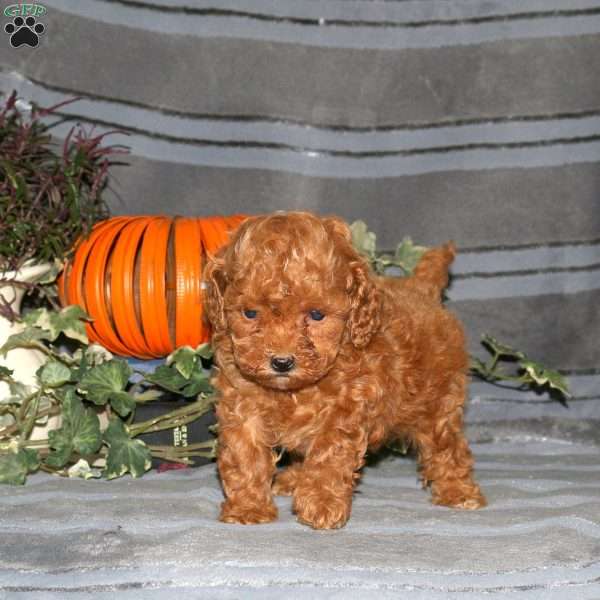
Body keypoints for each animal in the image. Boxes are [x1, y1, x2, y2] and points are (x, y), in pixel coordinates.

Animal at [204, 211, 486, 528]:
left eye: (317, 315)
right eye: (250, 313)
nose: (281, 362)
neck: (293, 391)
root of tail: (420, 289)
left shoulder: (344, 410)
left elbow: (329, 456)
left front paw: (322, 503)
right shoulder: (241, 405)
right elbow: (245, 456)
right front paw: (248, 508)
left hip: (438, 405)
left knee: (447, 448)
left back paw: (458, 491)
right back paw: (292, 479)